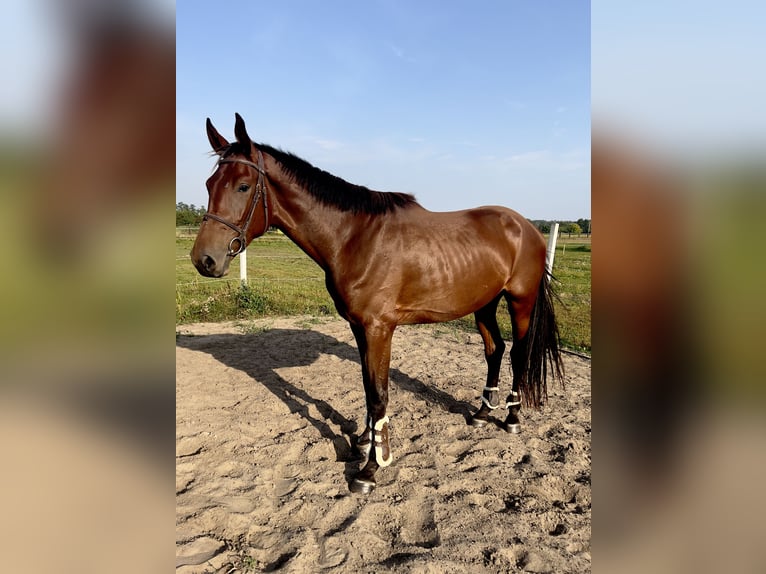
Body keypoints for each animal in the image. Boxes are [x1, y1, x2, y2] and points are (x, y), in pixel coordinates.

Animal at [190, 116, 564, 496]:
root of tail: (526, 227)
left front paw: (370, 468)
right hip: (484, 304)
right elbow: (368, 387)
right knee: (495, 350)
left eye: (243, 186)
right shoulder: (359, 327)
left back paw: (512, 418)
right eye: (209, 184)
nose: (205, 260)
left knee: (518, 352)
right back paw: (481, 414)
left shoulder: (379, 328)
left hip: (520, 302)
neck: (354, 237)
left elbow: (379, 394)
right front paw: (364, 442)